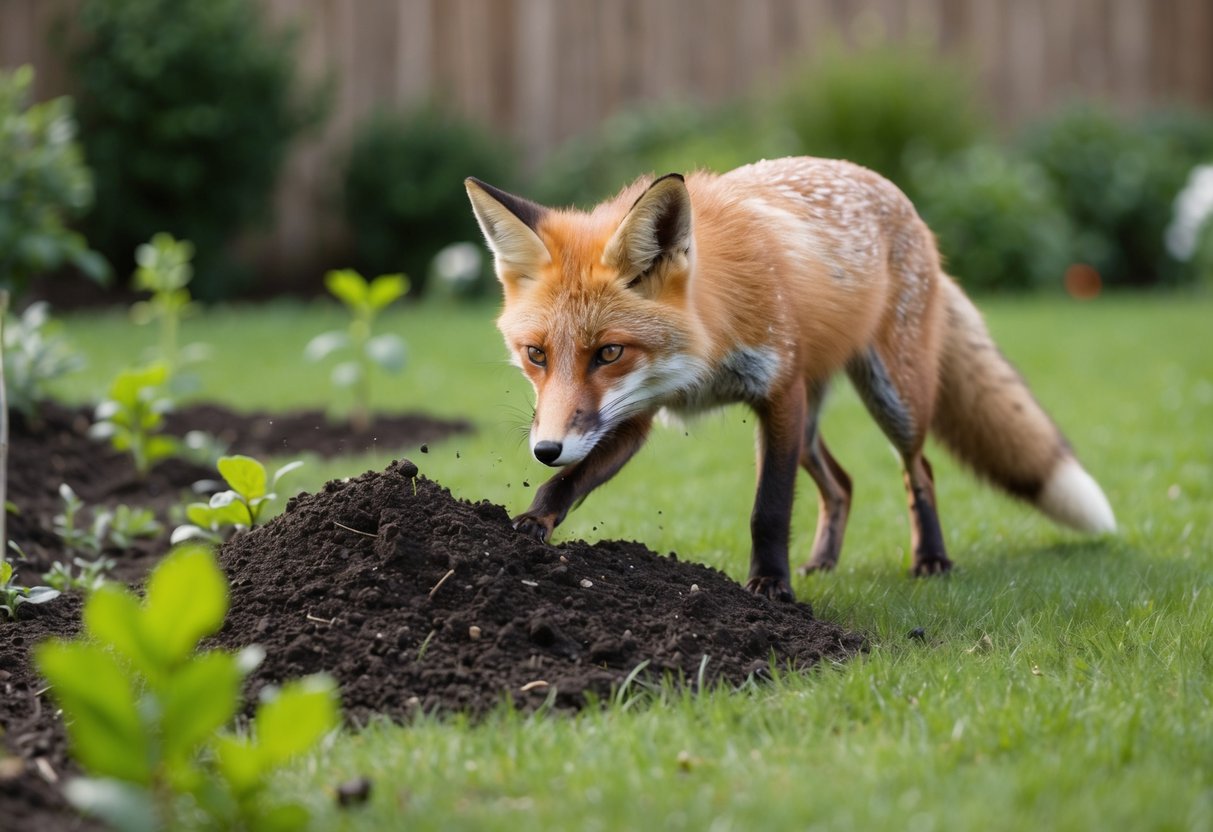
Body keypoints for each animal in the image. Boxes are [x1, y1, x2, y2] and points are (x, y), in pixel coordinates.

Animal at [464, 157, 1116, 601]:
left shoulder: (778, 393)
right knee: (844, 484)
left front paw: (770, 587)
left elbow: (769, 509)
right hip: (811, 419)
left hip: (891, 398)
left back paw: (930, 559)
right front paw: (527, 526)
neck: (703, 353)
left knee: (921, 470)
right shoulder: (633, 416)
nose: (545, 448)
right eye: (536, 354)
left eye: (608, 353)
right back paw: (824, 561)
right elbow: (567, 485)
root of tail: (895, 193)